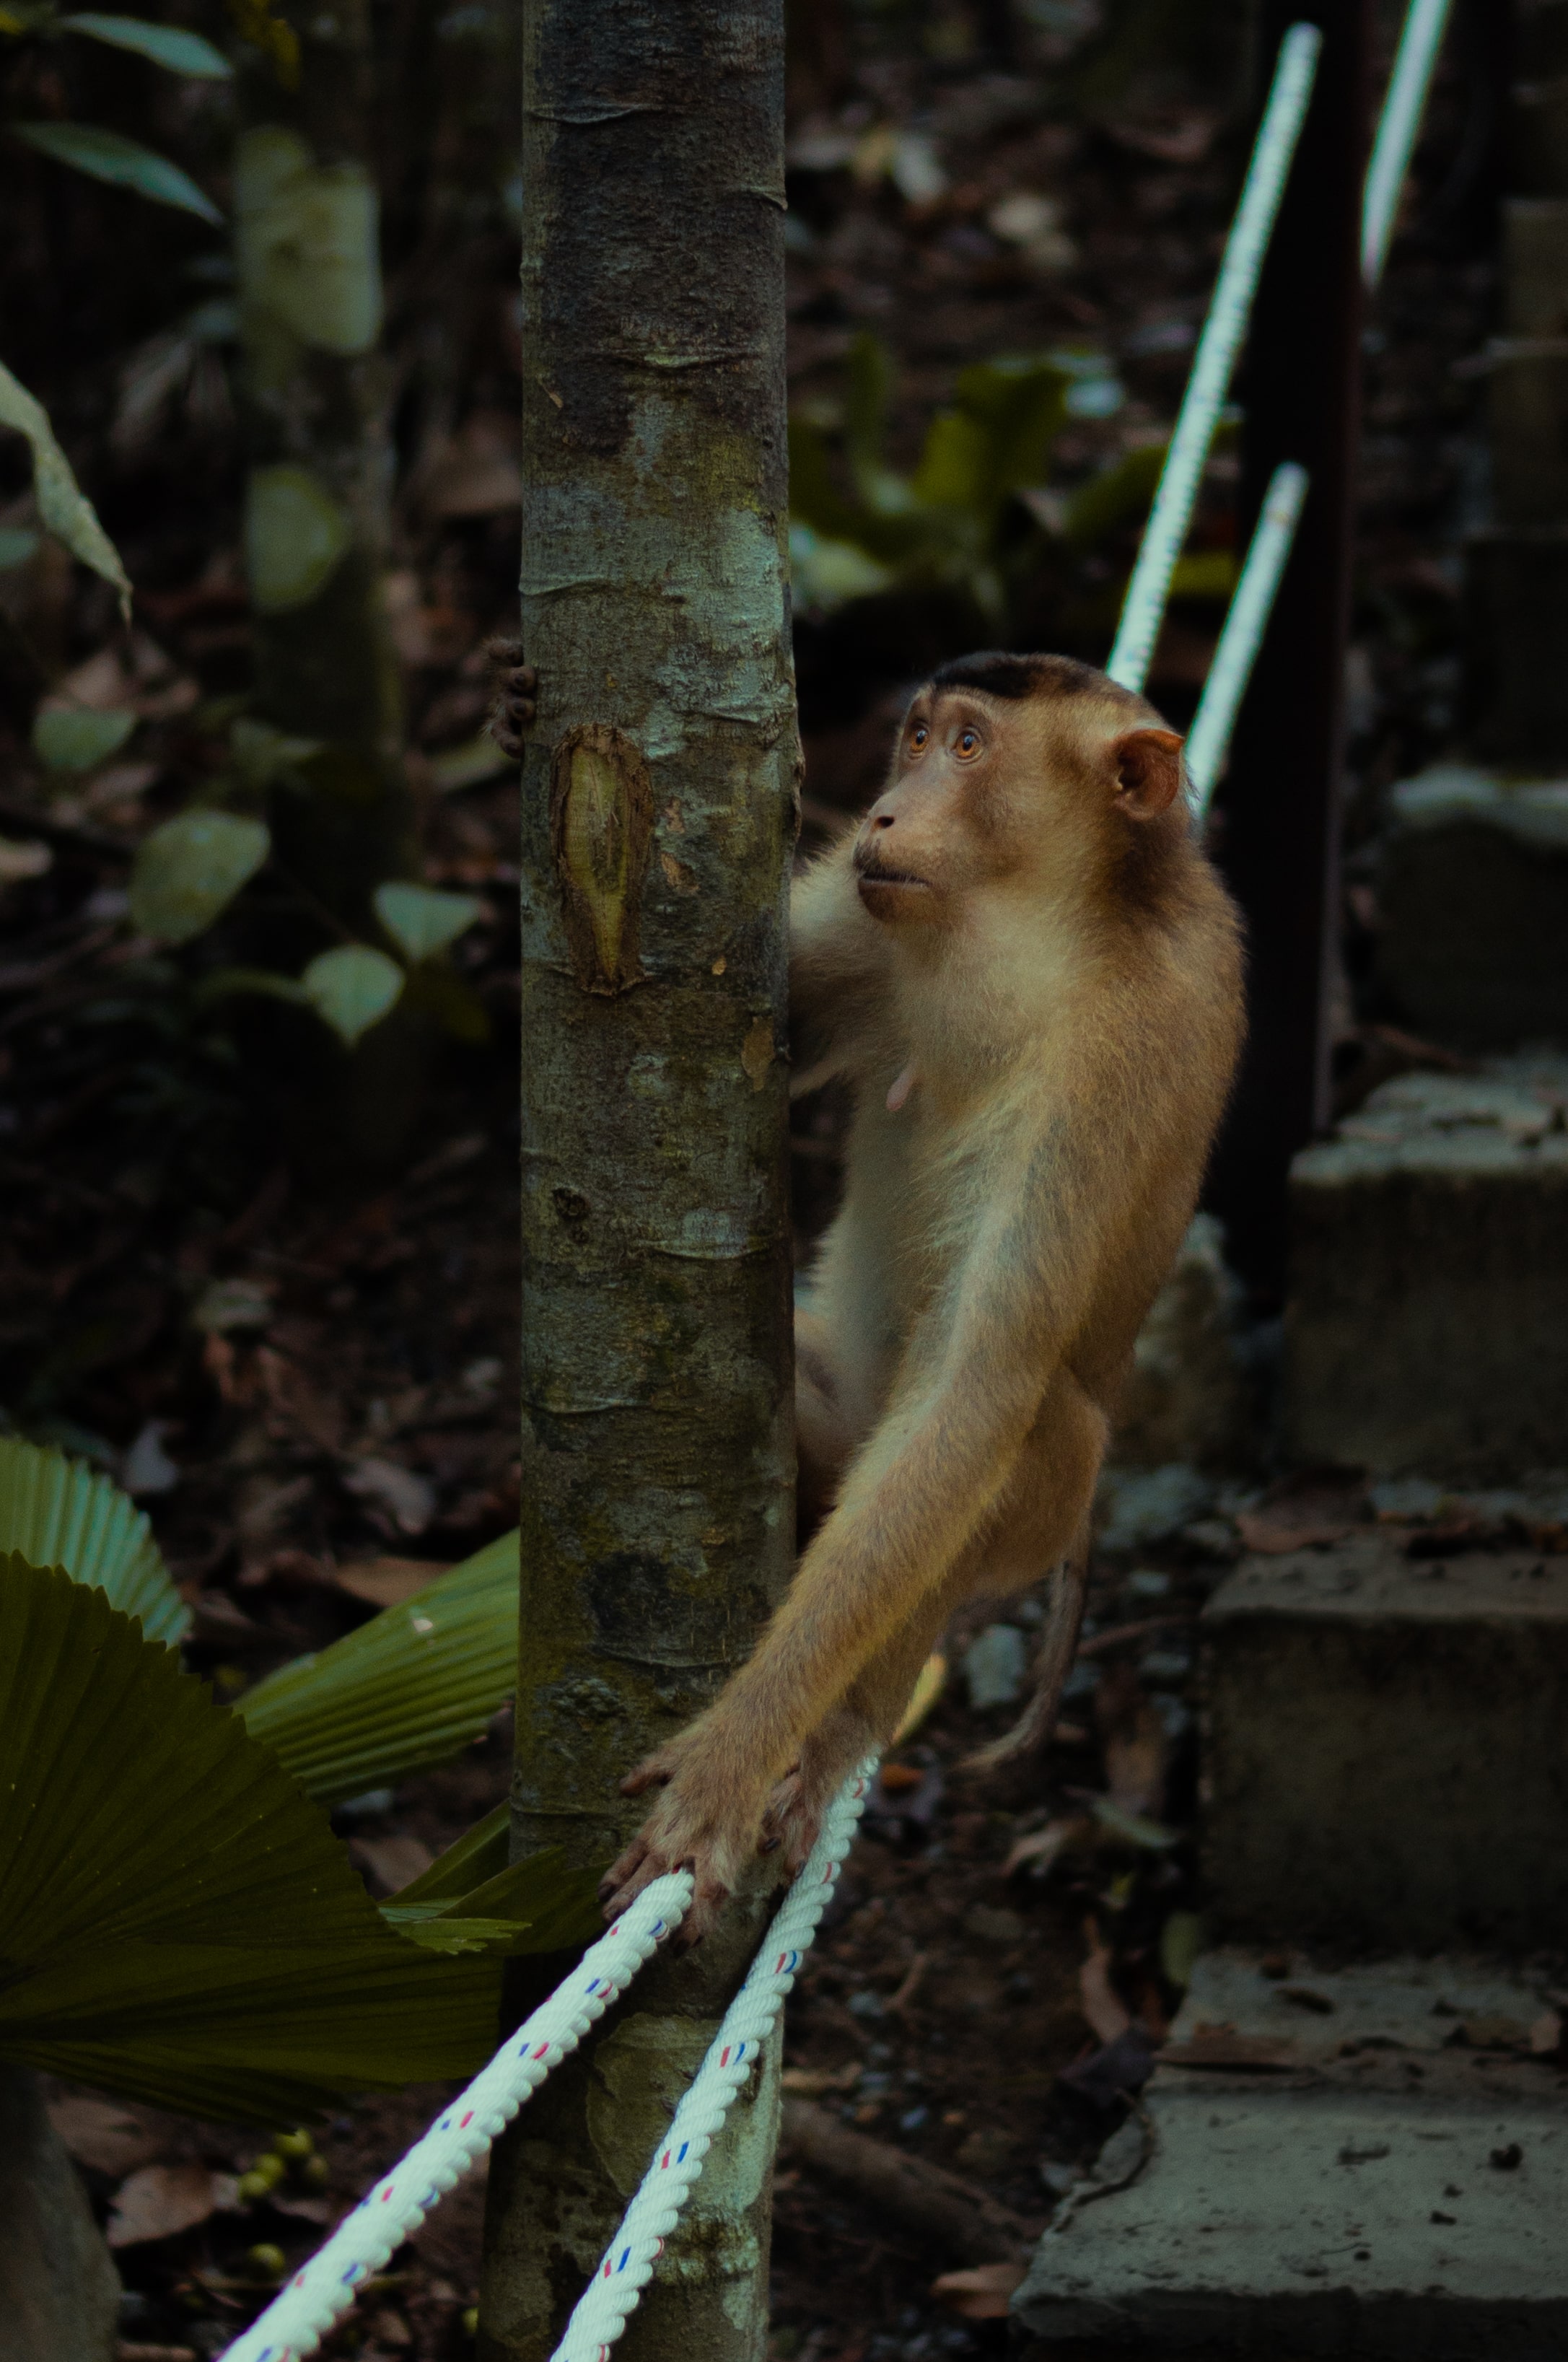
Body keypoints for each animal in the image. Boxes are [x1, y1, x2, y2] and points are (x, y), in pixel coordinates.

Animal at [485, 641, 1244, 1943]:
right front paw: (518, 712)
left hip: (1042, 1512)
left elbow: (975, 1392)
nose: (884, 809)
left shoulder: (1108, 1069)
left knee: (1030, 1429)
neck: (1055, 929)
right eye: (919, 737)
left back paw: (842, 1724)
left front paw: (734, 1755)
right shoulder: (872, 904)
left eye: (970, 747)